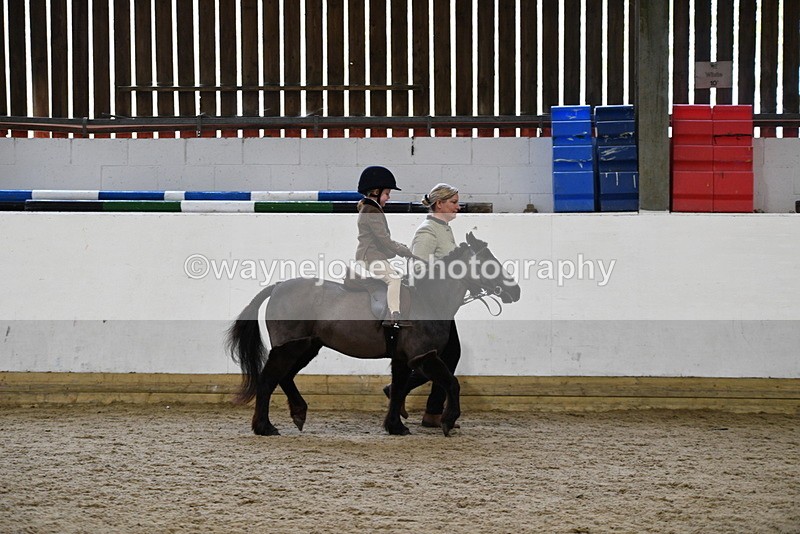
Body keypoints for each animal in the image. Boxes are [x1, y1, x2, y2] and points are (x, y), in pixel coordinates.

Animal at [226, 232, 520, 437]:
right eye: (489, 262)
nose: (515, 290)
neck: (428, 299)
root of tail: (277, 287)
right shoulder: (423, 357)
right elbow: (452, 382)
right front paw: (448, 421)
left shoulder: (403, 359)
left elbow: (399, 388)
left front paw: (395, 426)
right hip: (289, 348)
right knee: (268, 380)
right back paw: (264, 427)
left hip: (306, 347)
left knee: (284, 377)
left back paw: (298, 413)